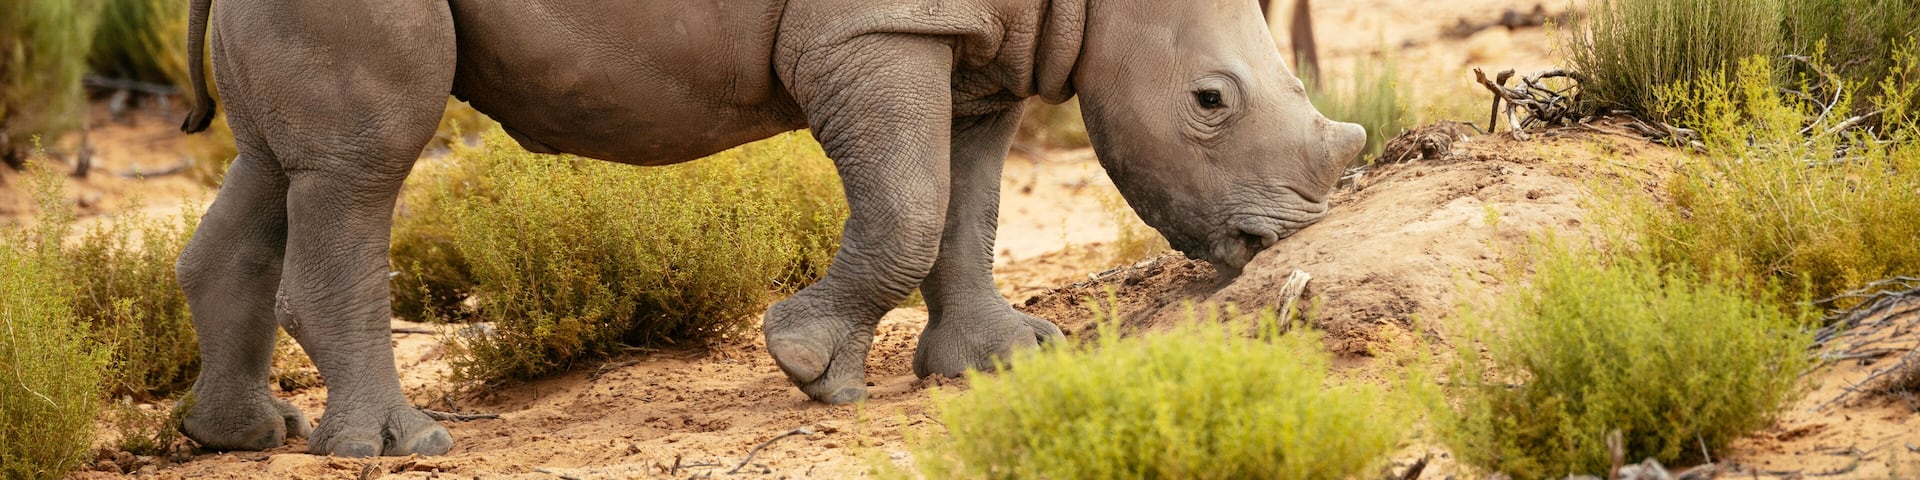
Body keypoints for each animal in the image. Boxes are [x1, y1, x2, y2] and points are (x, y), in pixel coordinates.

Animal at [172, 0, 1366, 457]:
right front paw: (808, 366)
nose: (1275, 244)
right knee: (364, 164)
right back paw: (400, 447)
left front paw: (1001, 364)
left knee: (283, 168)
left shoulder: (980, 45)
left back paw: (243, 435)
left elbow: (964, 207)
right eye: (1209, 102)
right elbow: (911, 203)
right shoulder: (869, 26)